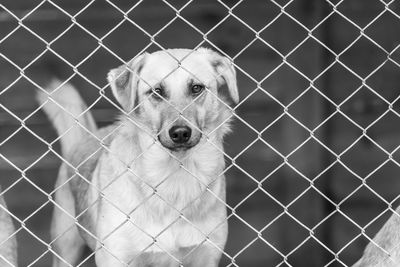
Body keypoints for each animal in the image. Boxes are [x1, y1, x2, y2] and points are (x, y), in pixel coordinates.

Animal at [36, 48, 238, 267]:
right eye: (157, 91)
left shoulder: (206, 255)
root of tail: (88, 136)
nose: (180, 133)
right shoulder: (115, 257)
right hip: (66, 246)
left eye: (196, 88)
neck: (174, 176)